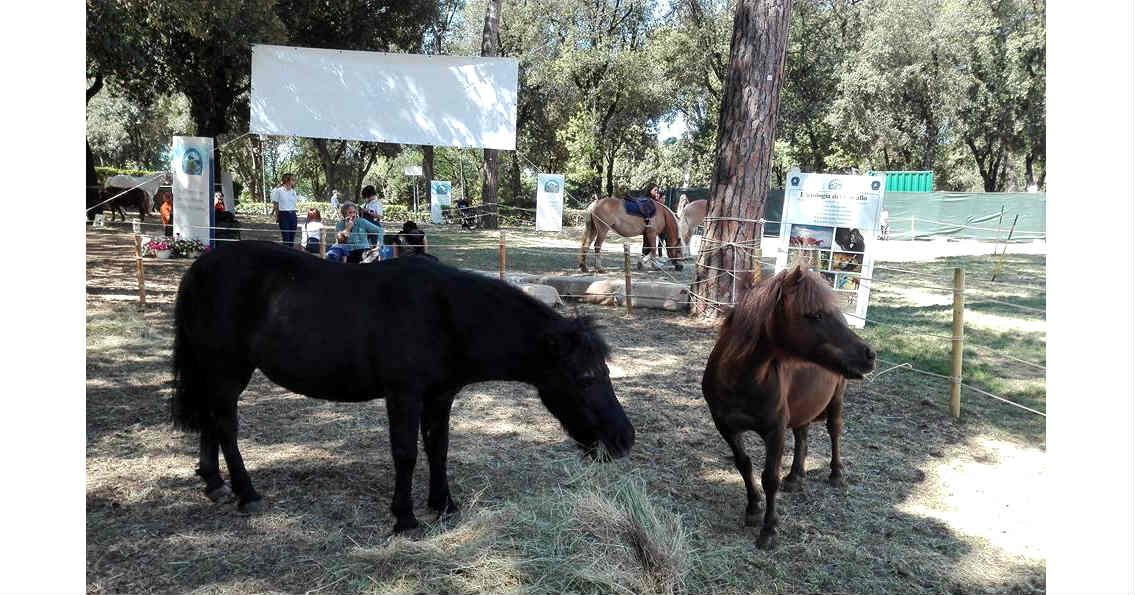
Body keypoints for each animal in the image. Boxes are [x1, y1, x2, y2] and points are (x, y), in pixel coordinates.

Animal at [171, 241, 634, 532]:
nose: (624, 439)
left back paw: (213, 482)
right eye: (586, 377)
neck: (444, 314)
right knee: (225, 425)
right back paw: (246, 492)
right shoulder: (403, 395)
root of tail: (200, 268)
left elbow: (437, 448)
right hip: (227, 369)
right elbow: (406, 453)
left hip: (219, 372)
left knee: (212, 421)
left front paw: (443, 504)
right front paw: (405, 517)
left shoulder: (440, 396)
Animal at [701, 263, 876, 550]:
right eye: (815, 315)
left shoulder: (775, 431)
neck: (740, 378)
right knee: (802, 436)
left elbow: (769, 477)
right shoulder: (725, 427)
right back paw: (795, 477)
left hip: (836, 401)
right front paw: (753, 508)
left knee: (834, 432)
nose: (869, 354)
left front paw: (769, 530)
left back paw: (836, 475)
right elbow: (744, 464)